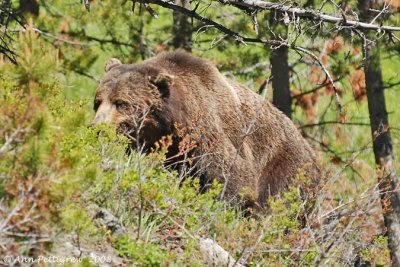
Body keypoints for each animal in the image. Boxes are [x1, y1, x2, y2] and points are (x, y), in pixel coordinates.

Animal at [92, 50, 320, 209]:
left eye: (120, 103)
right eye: (97, 101)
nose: (98, 128)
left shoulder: (205, 134)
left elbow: (233, 175)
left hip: (286, 165)